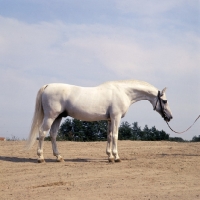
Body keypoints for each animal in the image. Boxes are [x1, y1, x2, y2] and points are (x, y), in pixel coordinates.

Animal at [26, 79, 173, 162]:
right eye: (165, 101)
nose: (170, 117)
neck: (123, 92)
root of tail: (48, 86)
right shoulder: (116, 117)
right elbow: (115, 136)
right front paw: (116, 157)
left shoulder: (109, 119)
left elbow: (109, 136)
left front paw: (109, 156)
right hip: (50, 116)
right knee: (42, 133)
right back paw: (41, 158)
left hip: (58, 117)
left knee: (53, 135)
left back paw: (59, 157)